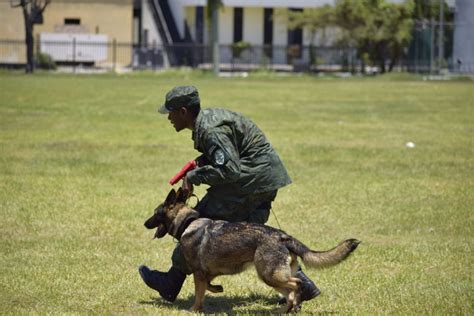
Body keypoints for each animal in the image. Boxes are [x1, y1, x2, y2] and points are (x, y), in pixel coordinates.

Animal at [144, 188, 360, 314]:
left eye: (155, 214)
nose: (145, 223)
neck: (188, 223)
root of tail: (282, 236)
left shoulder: (198, 272)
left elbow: (199, 293)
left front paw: (194, 309)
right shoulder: (206, 273)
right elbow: (209, 286)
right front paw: (217, 289)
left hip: (268, 275)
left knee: (296, 284)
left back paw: (292, 305)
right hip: (273, 276)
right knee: (290, 290)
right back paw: (287, 309)